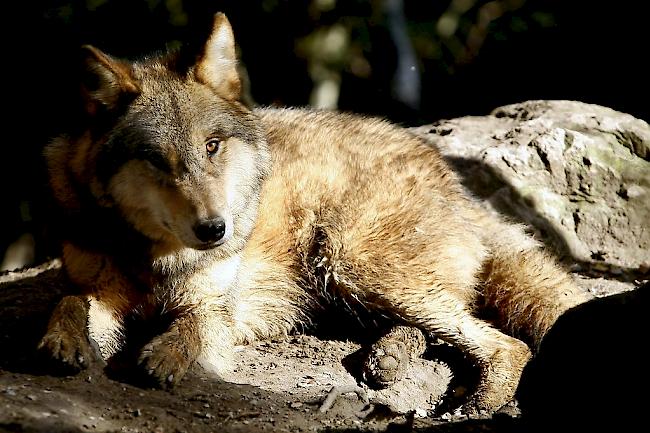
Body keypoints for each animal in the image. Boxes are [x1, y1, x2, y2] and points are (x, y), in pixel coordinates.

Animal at [38, 13, 588, 412]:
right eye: (155, 160)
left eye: (212, 146)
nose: (216, 230)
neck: (151, 253)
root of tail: (452, 179)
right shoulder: (100, 289)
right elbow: (69, 302)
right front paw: (61, 341)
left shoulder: (213, 306)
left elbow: (191, 329)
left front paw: (163, 356)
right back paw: (389, 358)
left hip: (351, 261)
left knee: (503, 343)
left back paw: (475, 400)